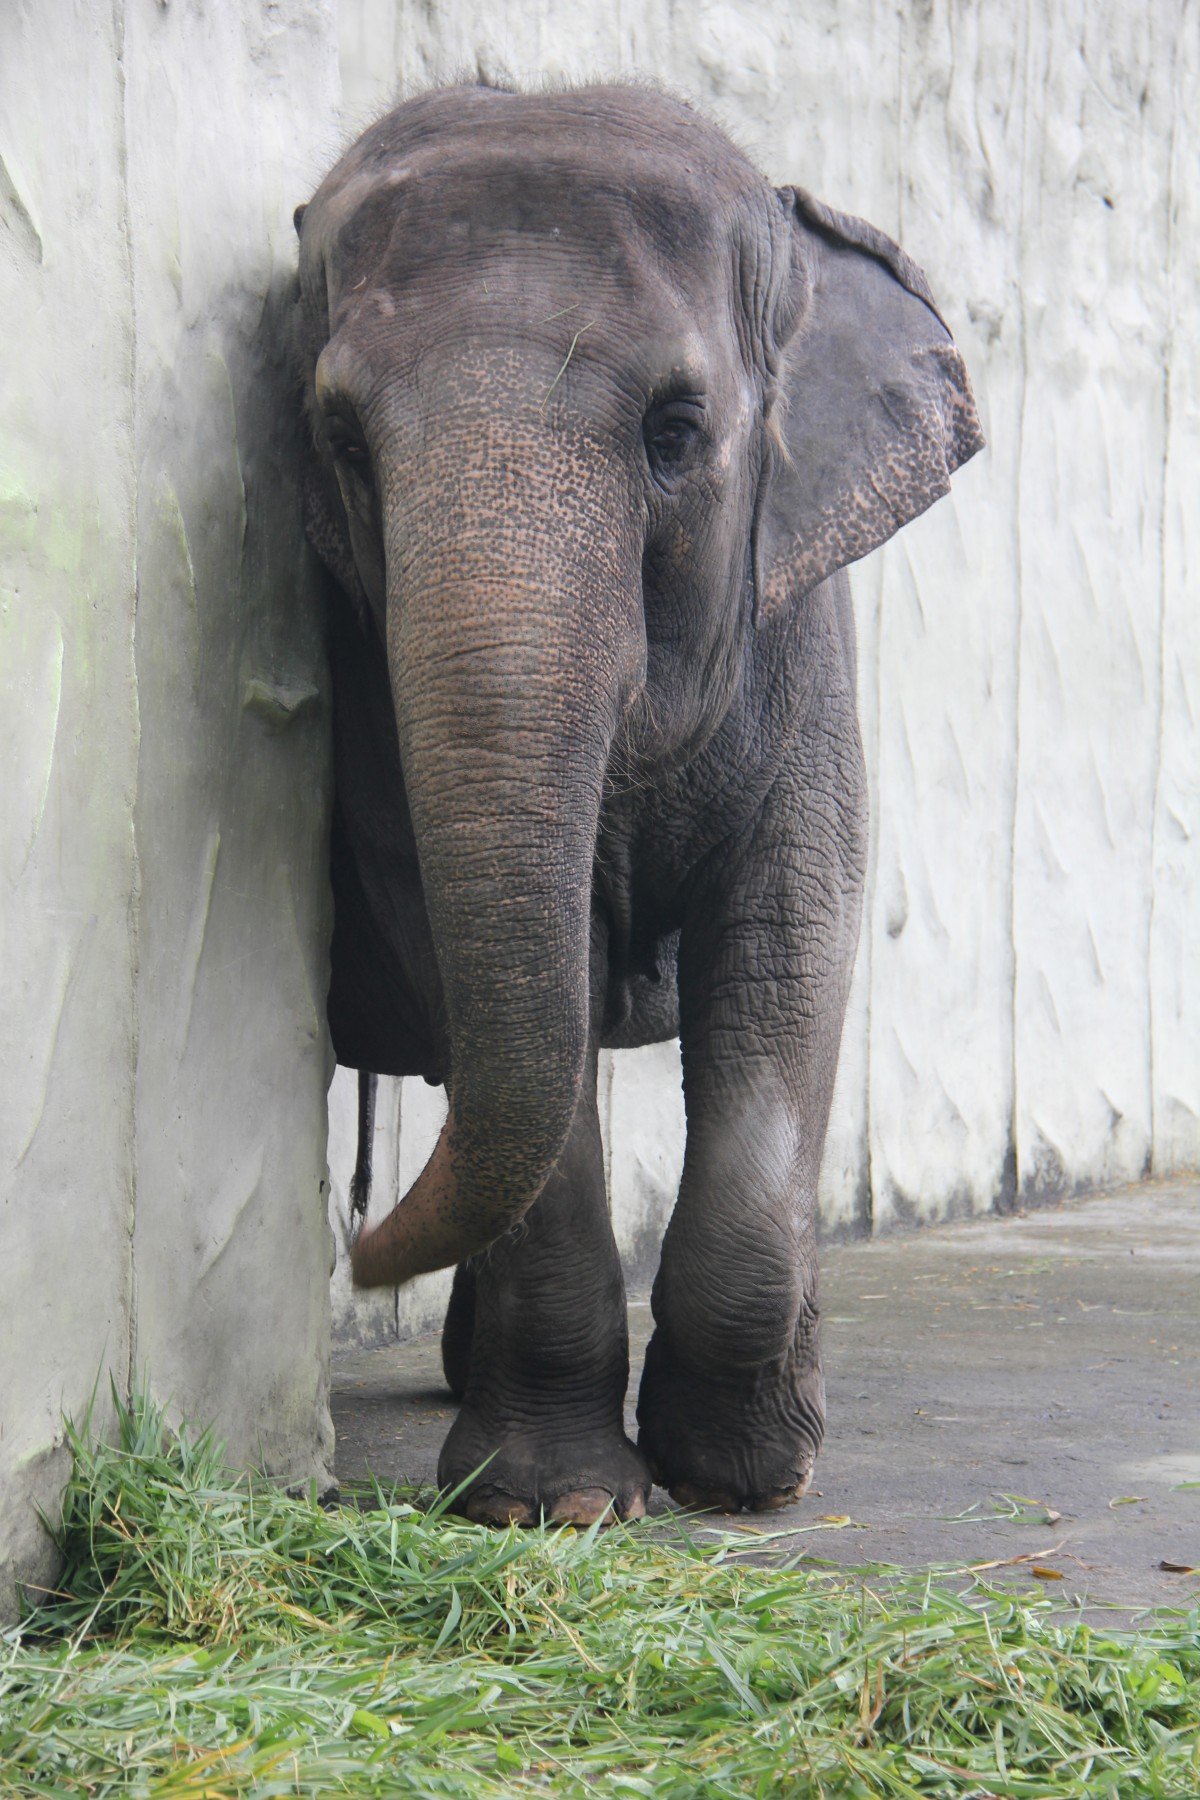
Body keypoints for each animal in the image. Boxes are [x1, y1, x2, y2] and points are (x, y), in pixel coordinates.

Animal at [293, 81, 985, 1519]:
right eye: (340, 445)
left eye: (675, 432)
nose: (362, 1248)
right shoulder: (370, 692)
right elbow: (475, 977)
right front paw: (549, 1502)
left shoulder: (801, 636)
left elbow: (788, 938)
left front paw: (746, 1474)